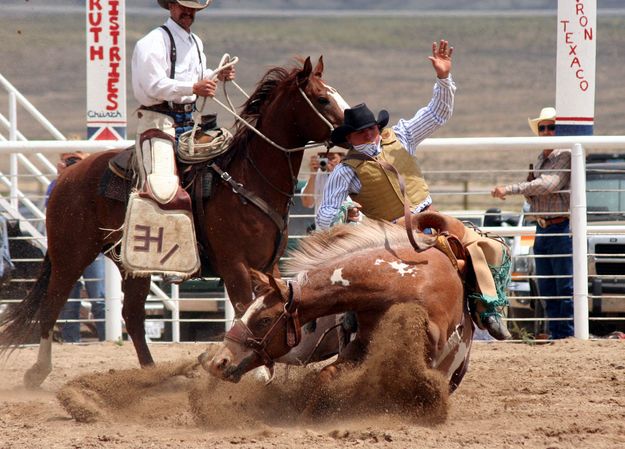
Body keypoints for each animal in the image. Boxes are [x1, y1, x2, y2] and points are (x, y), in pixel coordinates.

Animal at [0, 56, 346, 384]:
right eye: (322, 98)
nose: (352, 126)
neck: (248, 179)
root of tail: (69, 174)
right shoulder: (234, 265)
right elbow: (242, 308)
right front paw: (257, 373)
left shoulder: (268, 265)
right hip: (71, 254)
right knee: (52, 306)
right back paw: (38, 371)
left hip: (131, 265)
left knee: (132, 316)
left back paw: (151, 374)